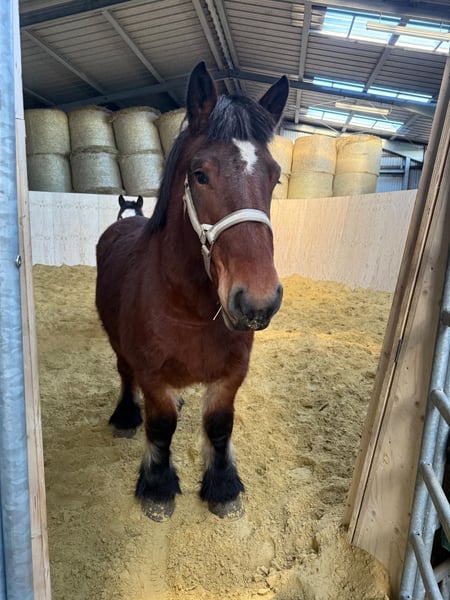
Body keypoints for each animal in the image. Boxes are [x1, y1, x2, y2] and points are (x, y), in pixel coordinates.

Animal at [95, 61, 289, 521]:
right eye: (200, 174)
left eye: (275, 178)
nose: (258, 300)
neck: (190, 309)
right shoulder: (151, 374)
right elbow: (161, 426)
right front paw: (157, 487)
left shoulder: (231, 375)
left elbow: (219, 426)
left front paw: (223, 487)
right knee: (125, 374)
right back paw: (126, 415)